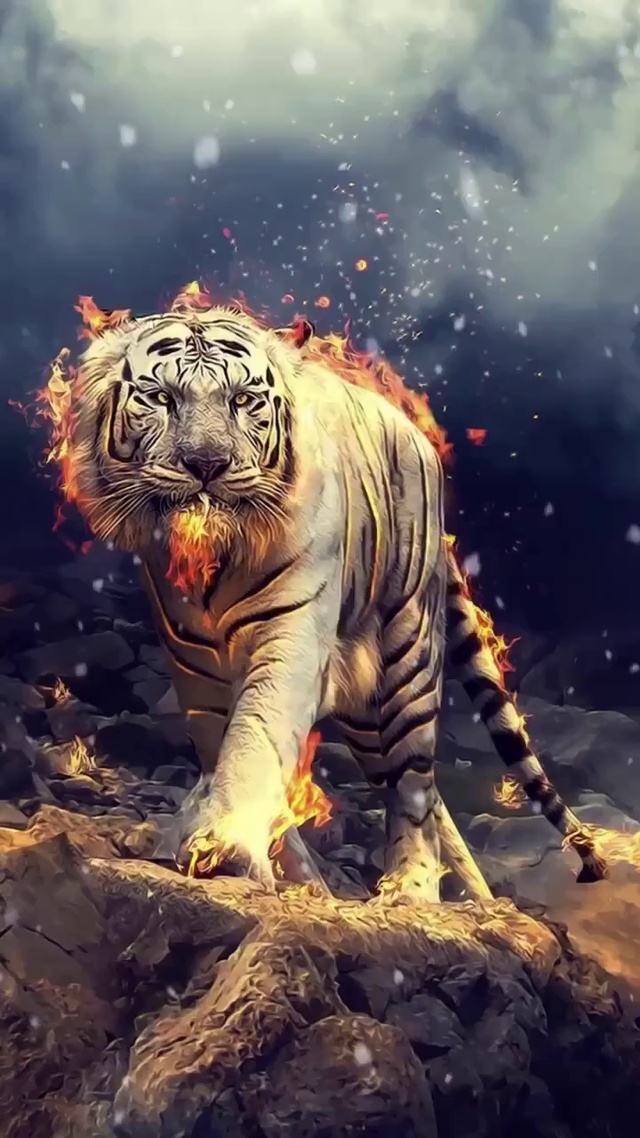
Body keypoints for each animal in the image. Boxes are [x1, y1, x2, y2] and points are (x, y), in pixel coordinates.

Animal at [59, 297, 607, 901]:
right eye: (161, 398)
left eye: (242, 400)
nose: (207, 464)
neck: (212, 559)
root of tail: (415, 434)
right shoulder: (194, 667)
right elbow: (225, 748)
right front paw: (277, 869)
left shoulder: (291, 637)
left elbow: (256, 737)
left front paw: (226, 847)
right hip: (368, 720)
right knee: (420, 791)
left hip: (405, 667)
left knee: (414, 786)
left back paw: (412, 891)